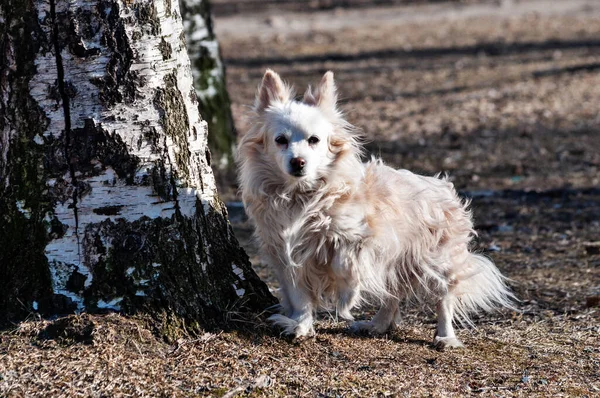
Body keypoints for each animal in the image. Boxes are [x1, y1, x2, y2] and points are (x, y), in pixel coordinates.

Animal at [237, 69, 512, 348]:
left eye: (314, 140)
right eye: (280, 140)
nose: (298, 162)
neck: (300, 197)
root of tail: (443, 187)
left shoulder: (362, 238)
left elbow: (343, 264)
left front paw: (347, 298)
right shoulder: (286, 255)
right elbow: (299, 295)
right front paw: (300, 326)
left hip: (438, 260)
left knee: (443, 297)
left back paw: (445, 336)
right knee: (391, 293)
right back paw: (377, 325)